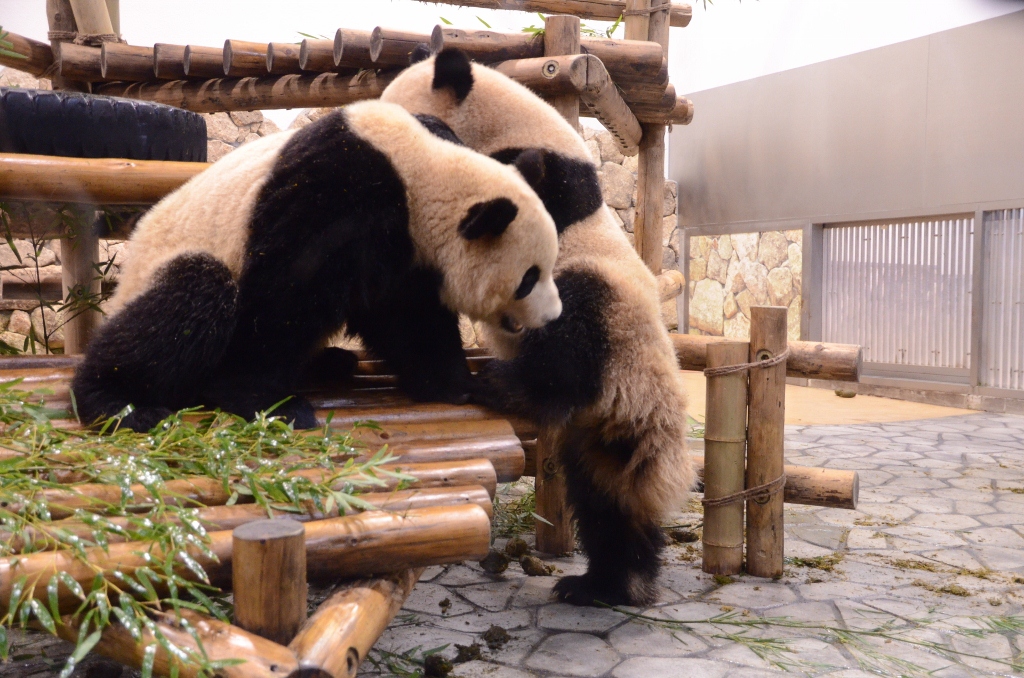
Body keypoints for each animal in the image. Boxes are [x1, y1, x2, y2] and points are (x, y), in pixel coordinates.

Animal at [72, 98, 561, 432]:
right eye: (528, 279)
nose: (554, 316)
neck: (421, 171)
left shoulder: (404, 247)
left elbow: (406, 315)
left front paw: (456, 383)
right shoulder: (335, 194)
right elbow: (284, 296)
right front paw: (267, 402)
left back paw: (329, 362)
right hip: (160, 269)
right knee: (190, 300)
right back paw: (116, 401)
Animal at [382, 50, 696, 606]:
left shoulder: (550, 186)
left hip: (607, 308)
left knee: (570, 345)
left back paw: (500, 384)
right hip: (598, 443)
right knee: (606, 503)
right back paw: (606, 583)